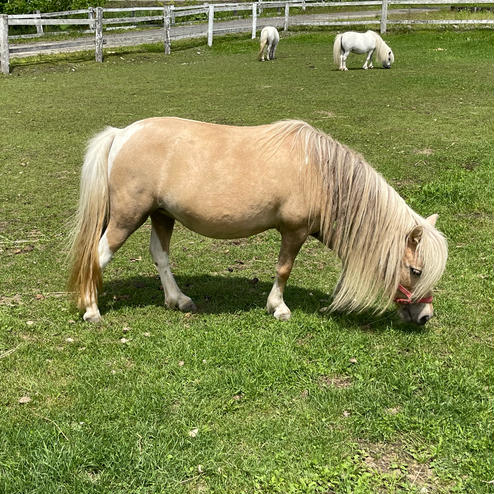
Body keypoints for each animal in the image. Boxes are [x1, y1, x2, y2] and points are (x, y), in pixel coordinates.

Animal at [68, 116, 448, 324]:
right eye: (416, 271)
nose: (425, 317)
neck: (321, 175)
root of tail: (121, 134)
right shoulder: (293, 231)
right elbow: (284, 269)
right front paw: (278, 307)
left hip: (161, 215)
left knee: (160, 256)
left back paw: (178, 300)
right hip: (126, 217)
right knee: (98, 255)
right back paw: (92, 310)